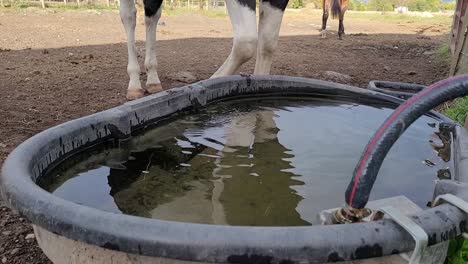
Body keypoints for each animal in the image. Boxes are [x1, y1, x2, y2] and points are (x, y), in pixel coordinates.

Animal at [120, 0, 288, 99]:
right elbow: (246, 43)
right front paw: (212, 82)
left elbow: (267, 43)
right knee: (130, 16)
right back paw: (136, 84)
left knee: (151, 15)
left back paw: (152, 79)